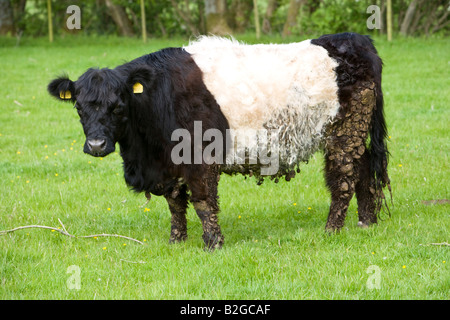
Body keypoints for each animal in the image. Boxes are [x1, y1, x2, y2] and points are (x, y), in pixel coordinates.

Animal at [47, 33, 388, 251]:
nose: (96, 145)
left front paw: (213, 244)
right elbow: (175, 204)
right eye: (79, 107)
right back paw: (367, 222)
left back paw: (332, 229)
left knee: (343, 177)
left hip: (345, 130)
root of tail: (354, 38)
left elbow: (202, 202)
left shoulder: (199, 157)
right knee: (363, 170)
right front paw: (176, 241)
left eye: (118, 106)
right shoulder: (170, 163)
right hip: (356, 132)